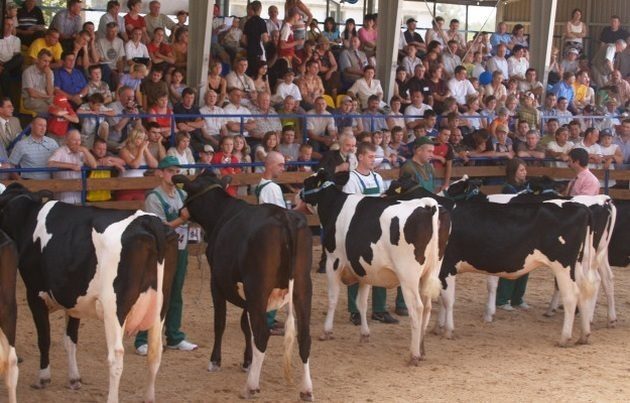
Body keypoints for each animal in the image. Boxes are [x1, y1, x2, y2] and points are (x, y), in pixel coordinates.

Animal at [0, 184, 179, 403]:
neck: (26, 215)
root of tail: (149, 220)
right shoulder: (73, 300)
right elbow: (70, 340)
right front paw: (74, 378)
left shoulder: (35, 294)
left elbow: (44, 338)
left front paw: (43, 378)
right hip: (161, 306)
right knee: (155, 352)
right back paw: (149, 397)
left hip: (114, 308)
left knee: (116, 357)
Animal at [173, 172, 314, 402]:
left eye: (187, 191)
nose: (180, 211)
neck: (221, 214)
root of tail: (284, 216)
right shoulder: (248, 295)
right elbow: (244, 326)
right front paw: (248, 361)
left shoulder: (217, 282)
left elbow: (220, 322)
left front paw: (215, 361)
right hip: (302, 286)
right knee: (304, 336)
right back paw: (306, 390)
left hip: (258, 286)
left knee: (262, 333)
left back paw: (251, 387)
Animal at [302, 170, 446, 366]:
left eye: (307, 182)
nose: (298, 195)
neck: (334, 207)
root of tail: (428, 205)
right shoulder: (365, 269)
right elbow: (361, 302)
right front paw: (364, 334)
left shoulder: (333, 261)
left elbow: (333, 298)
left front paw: (327, 331)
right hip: (431, 271)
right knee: (428, 307)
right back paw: (422, 350)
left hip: (408, 275)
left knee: (417, 308)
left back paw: (414, 354)